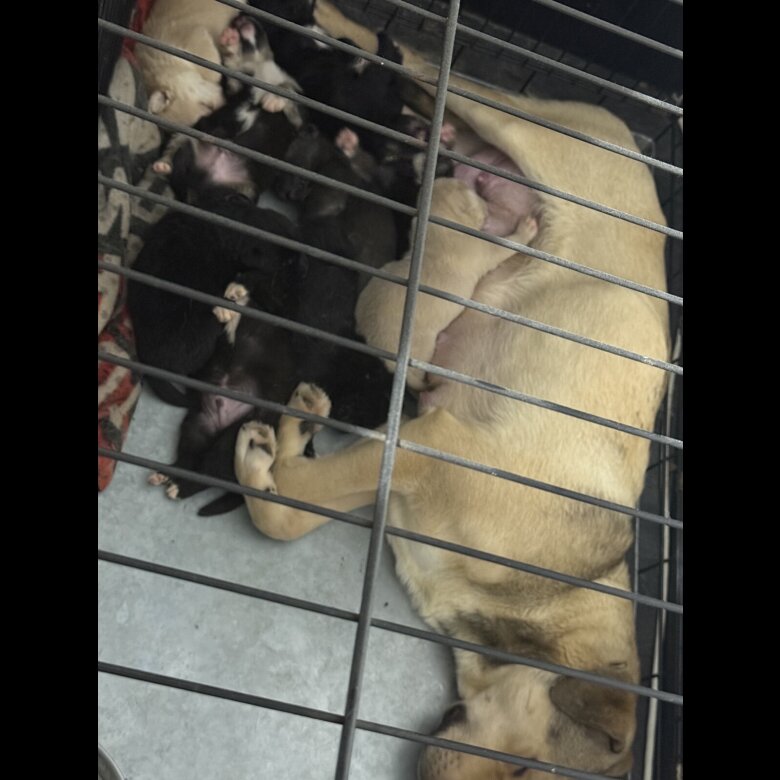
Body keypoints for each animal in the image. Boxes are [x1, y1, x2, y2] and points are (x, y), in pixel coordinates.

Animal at [232, 4, 671, 777]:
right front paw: (276, 456)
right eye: (530, 772)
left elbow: (297, 509)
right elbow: (298, 497)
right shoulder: (428, 445)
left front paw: (284, 443)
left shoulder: (398, 474)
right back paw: (331, 26)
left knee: (417, 86)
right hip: (521, 126)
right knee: (428, 61)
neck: (553, 600)